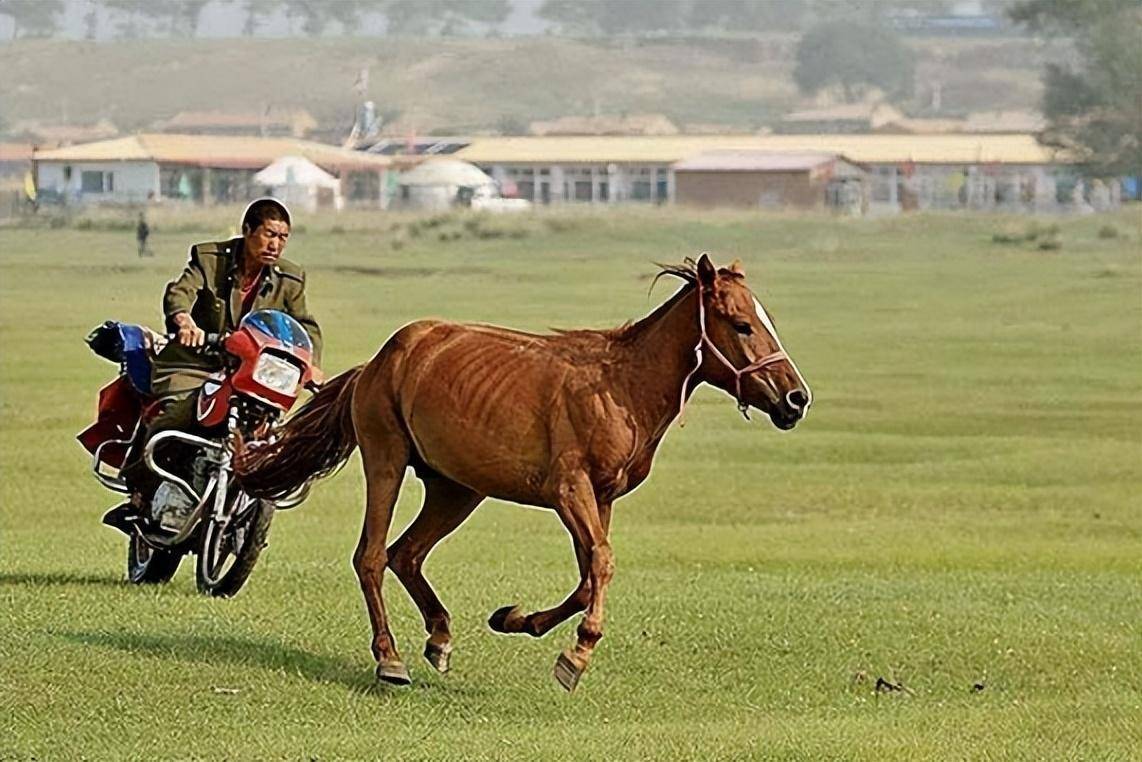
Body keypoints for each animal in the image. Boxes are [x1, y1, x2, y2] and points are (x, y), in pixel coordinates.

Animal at [238, 254, 813, 690]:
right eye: (742, 325)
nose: (796, 399)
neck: (621, 387)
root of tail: (379, 361)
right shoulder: (569, 491)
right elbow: (601, 564)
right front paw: (575, 657)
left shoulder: (601, 498)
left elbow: (587, 577)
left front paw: (516, 619)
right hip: (387, 460)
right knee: (373, 557)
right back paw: (390, 658)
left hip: (457, 489)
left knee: (407, 554)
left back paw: (440, 637)